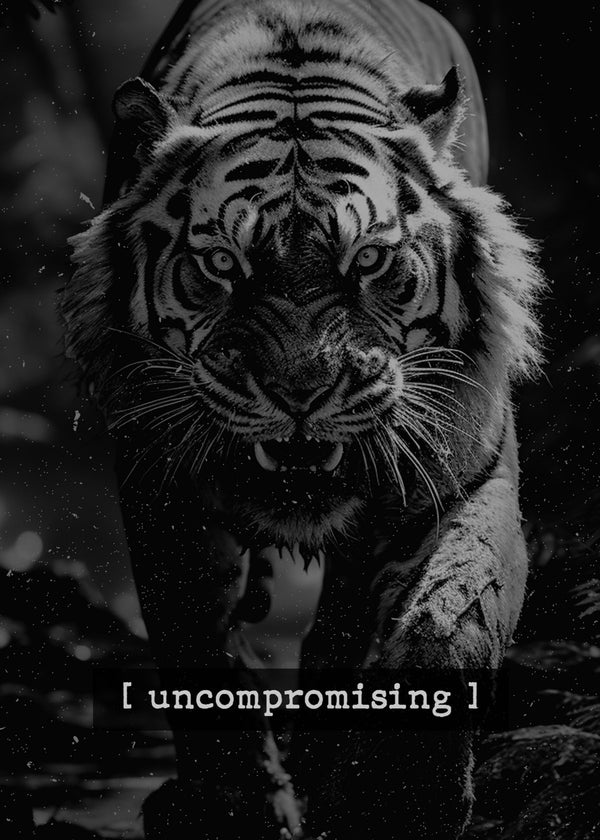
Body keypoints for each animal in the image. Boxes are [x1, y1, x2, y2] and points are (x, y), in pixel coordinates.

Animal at [61, 0, 543, 837]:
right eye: (222, 265)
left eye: (371, 262)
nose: (301, 391)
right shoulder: (160, 489)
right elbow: (195, 642)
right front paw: (235, 807)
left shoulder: (466, 474)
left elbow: (451, 620)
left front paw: (404, 796)